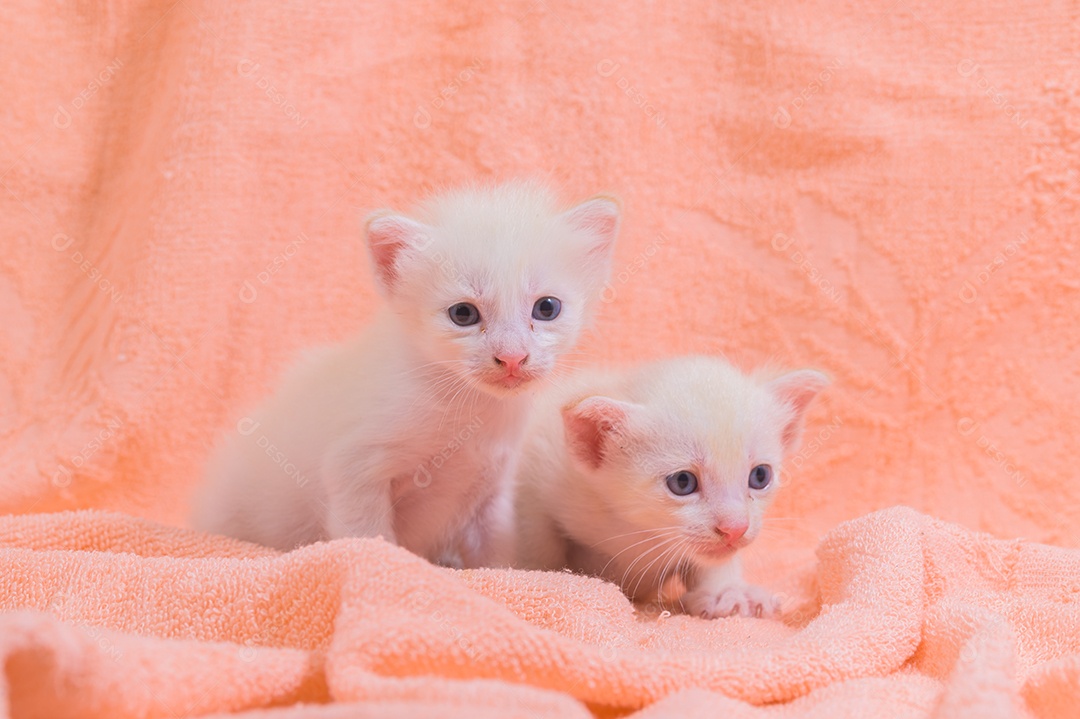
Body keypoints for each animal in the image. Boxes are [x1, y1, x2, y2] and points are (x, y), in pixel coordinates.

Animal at [190, 180, 622, 565]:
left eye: (547, 308)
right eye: (463, 314)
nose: (512, 357)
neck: (470, 410)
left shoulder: (492, 489)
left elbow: (497, 553)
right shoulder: (353, 469)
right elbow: (368, 535)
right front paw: (388, 569)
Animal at [514, 356, 825, 617]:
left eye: (760, 476)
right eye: (683, 482)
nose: (735, 529)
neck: (636, 530)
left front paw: (726, 591)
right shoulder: (535, 466)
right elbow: (536, 535)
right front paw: (535, 576)